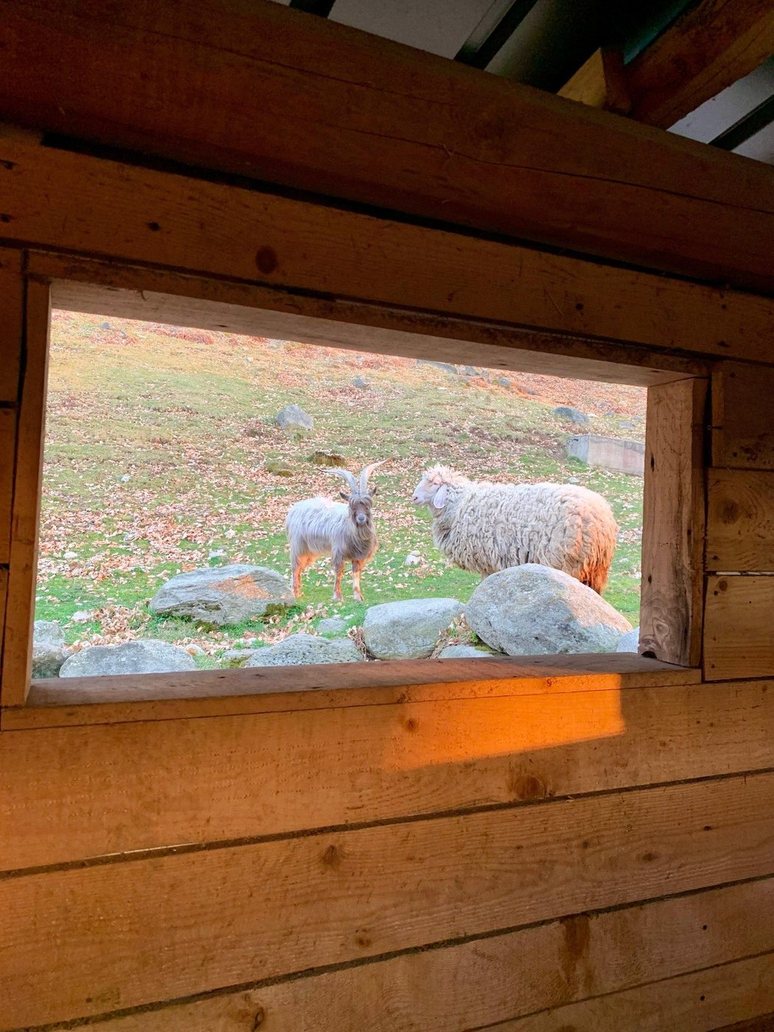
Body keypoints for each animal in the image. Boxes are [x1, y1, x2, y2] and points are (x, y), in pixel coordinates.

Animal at [286, 462, 386, 602]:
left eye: (368, 505)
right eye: (352, 505)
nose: (361, 518)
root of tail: (293, 510)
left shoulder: (358, 556)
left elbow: (356, 573)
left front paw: (358, 596)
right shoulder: (338, 551)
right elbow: (339, 572)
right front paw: (338, 596)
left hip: (309, 551)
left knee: (299, 568)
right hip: (298, 545)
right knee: (295, 567)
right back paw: (295, 594)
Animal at [411, 465, 617, 593]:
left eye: (434, 483)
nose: (413, 497)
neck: (460, 504)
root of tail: (603, 519)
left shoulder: (487, 559)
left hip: (566, 562)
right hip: (594, 571)